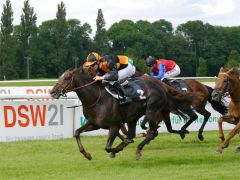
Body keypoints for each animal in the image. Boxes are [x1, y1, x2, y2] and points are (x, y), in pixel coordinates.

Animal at [50, 67, 193, 160]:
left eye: (66, 77)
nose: (53, 92)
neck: (97, 98)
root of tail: (161, 87)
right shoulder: (95, 124)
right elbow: (77, 132)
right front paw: (87, 154)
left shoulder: (115, 124)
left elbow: (108, 147)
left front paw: (114, 151)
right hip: (133, 118)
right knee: (132, 134)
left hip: (152, 111)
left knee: (151, 132)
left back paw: (138, 150)